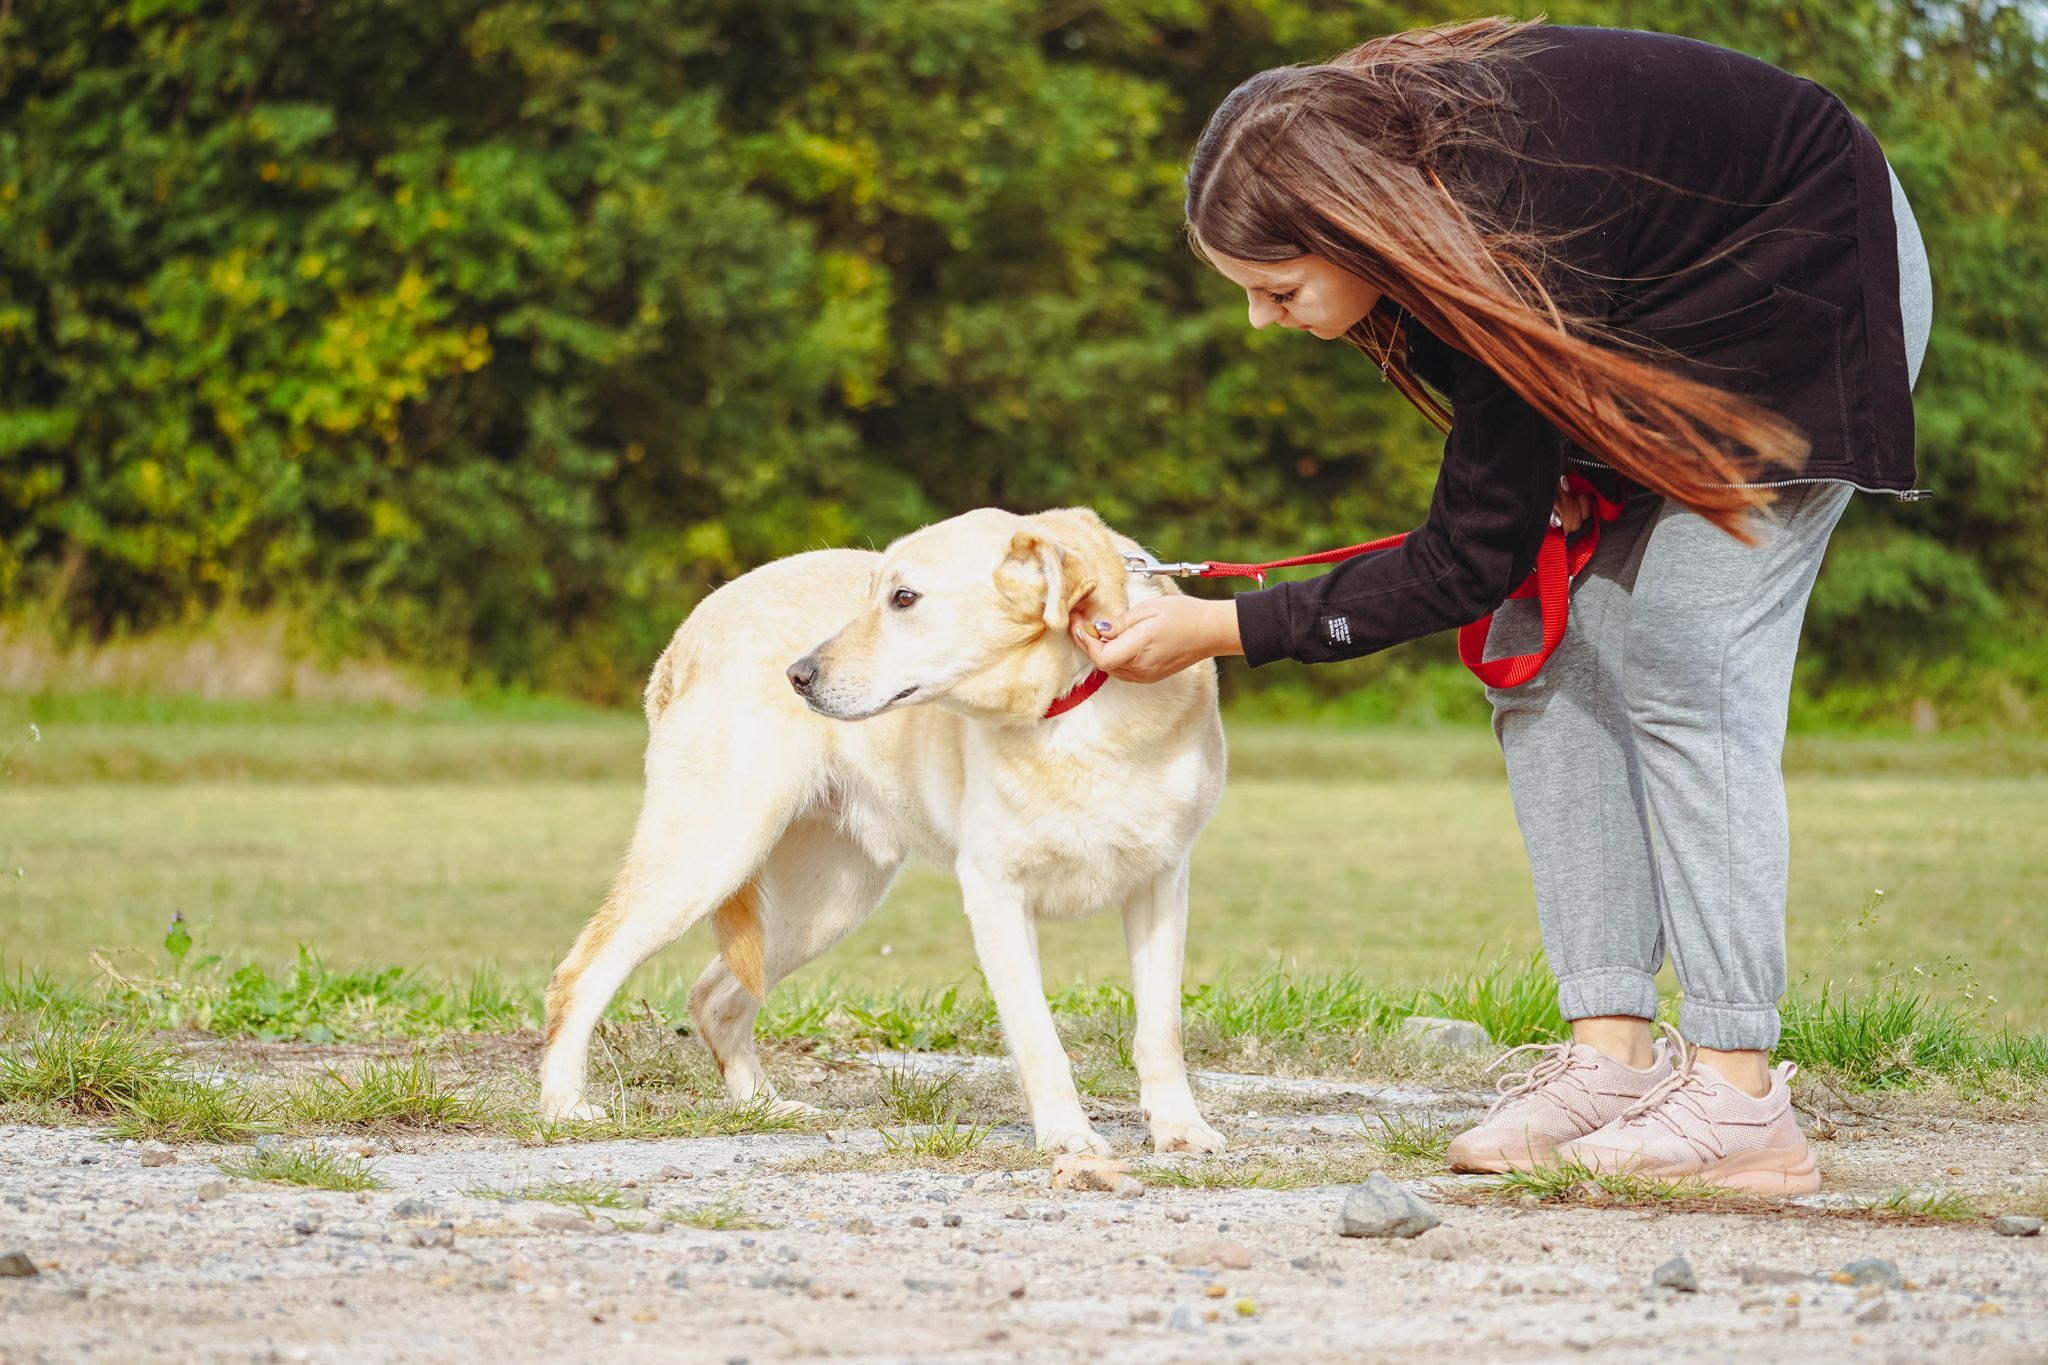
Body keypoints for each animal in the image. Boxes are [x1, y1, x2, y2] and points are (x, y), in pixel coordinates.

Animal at [536, 507, 1220, 1162]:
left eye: (904, 598)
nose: (797, 675)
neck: (1075, 706)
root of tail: (693, 626)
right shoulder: (995, 893)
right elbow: (1038, 1038)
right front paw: (1067, 1139)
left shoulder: (1162, 883)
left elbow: (1161, 1031)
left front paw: (1179, 1130)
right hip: (708, 854)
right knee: (580, 975)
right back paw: (566, 1107)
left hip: (826, 904)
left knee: (715, 997)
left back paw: (764, 1108)